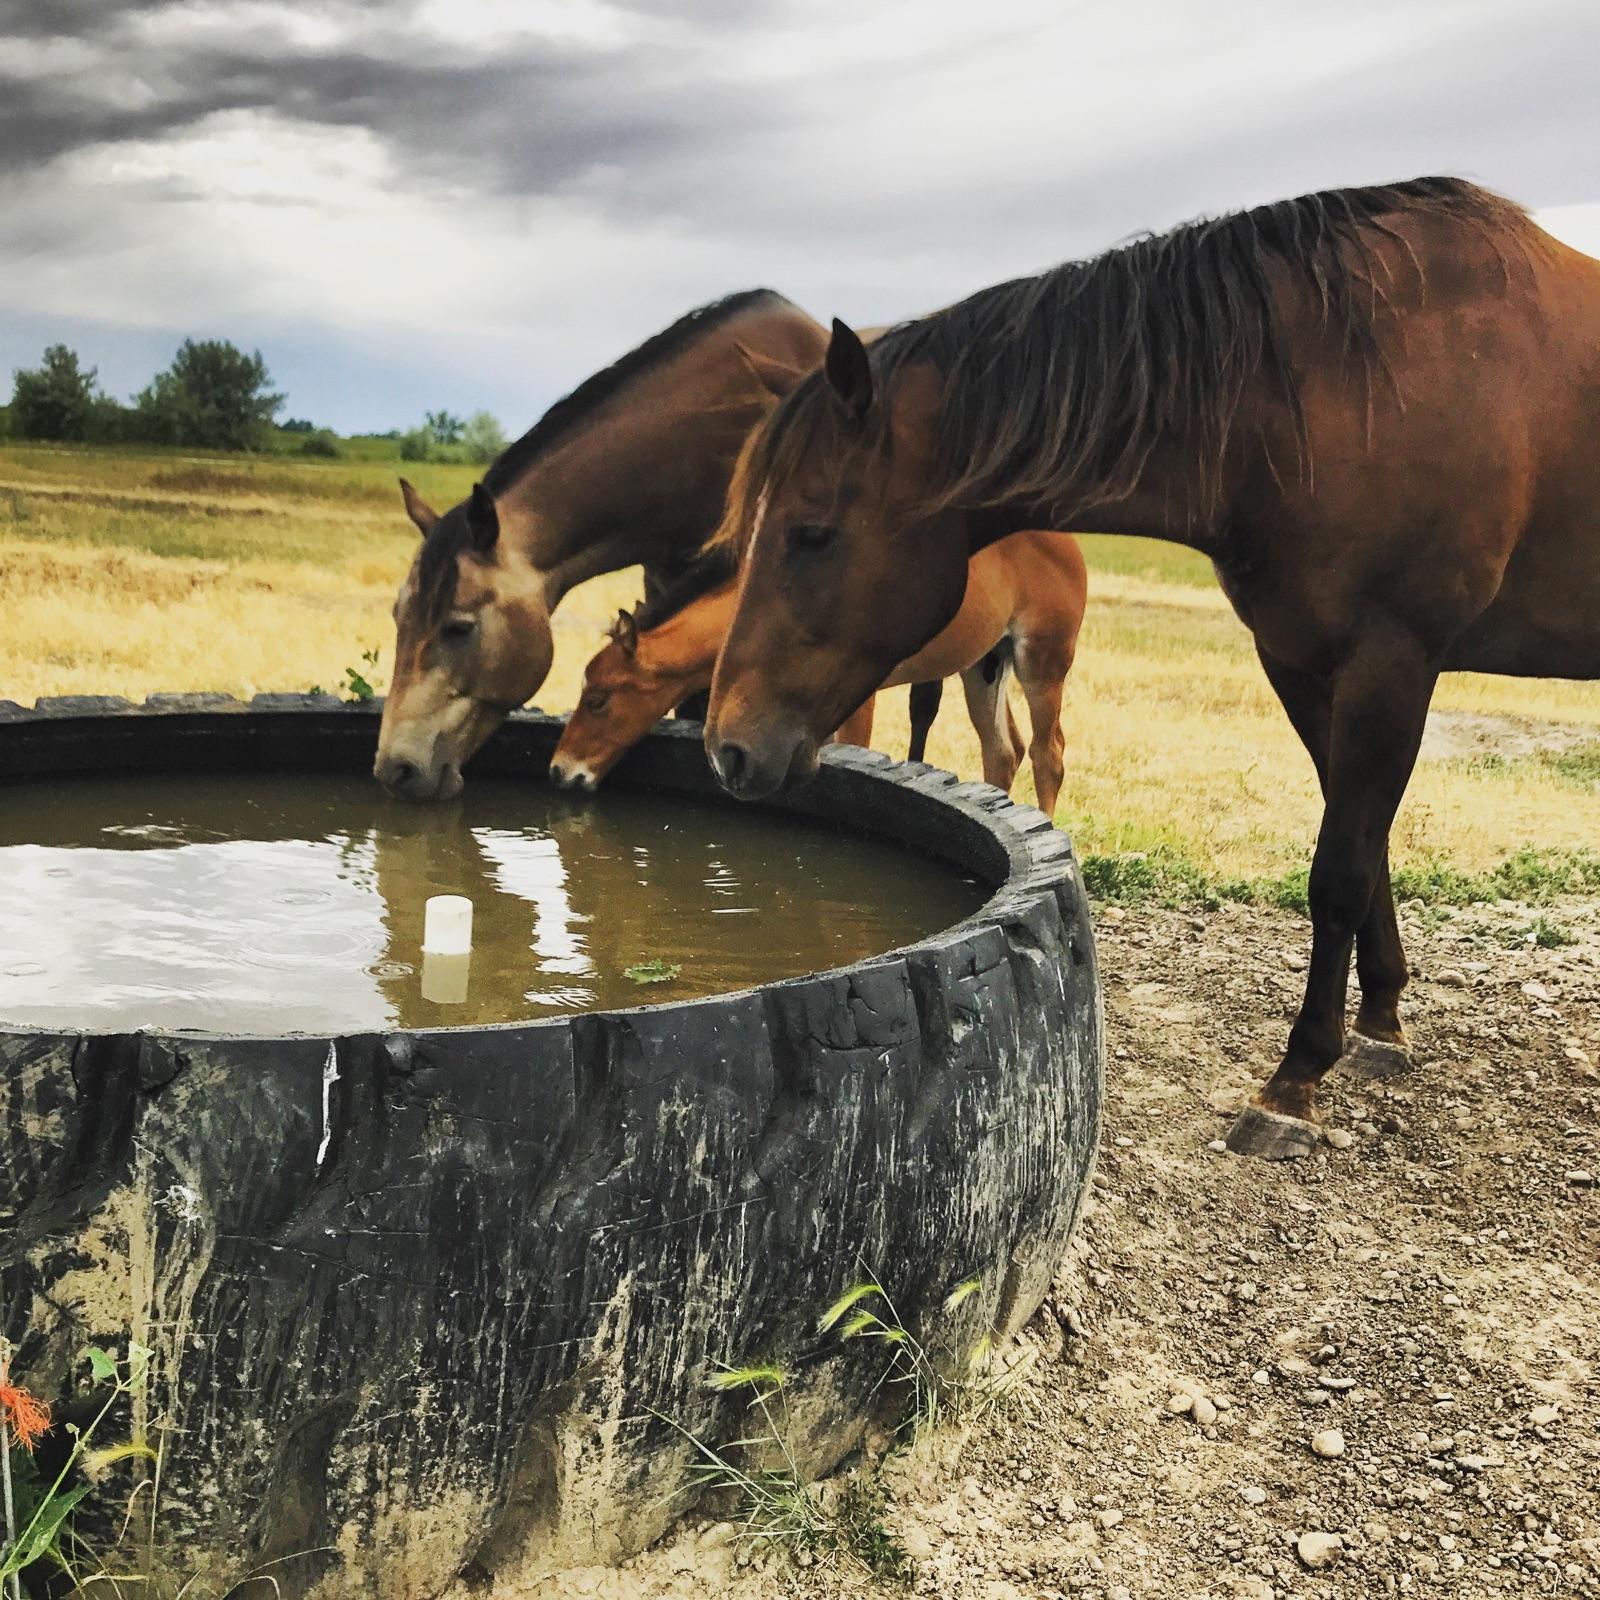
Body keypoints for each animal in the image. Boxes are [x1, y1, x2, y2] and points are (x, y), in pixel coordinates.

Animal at [550, 534, 1088, 812]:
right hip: (984, 665)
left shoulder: (858, 700)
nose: (560, 771)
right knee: (1002, 751)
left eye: (598, 699)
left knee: (1048, 753)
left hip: (1043, 660)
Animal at [710, 181, 1600, 1164]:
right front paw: (1382, 1021)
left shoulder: (1391, 661)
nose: (728, 747)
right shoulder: (1305, 663)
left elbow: (1339, 871)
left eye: (811, 533)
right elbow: (1365, 850)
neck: (1345, 387)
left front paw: (1294, 1084)